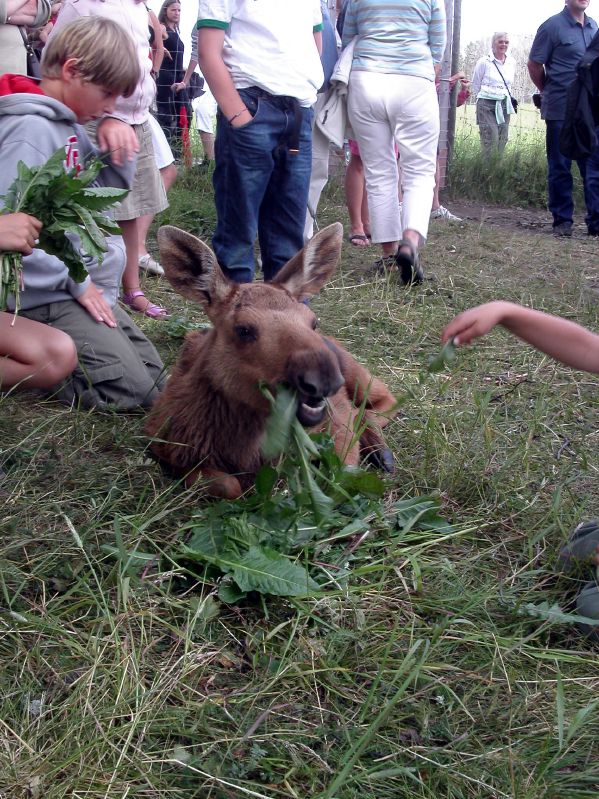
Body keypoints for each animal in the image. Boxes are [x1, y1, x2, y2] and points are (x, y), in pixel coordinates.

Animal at [146, 225, 398, 496]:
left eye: (313, 321)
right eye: (243, 329)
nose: (323, 378)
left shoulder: (339, 422)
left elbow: (339, 475)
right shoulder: (162, 441)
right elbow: (229, 485)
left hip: (356, 374)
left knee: (384, 401)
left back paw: (382, 453)